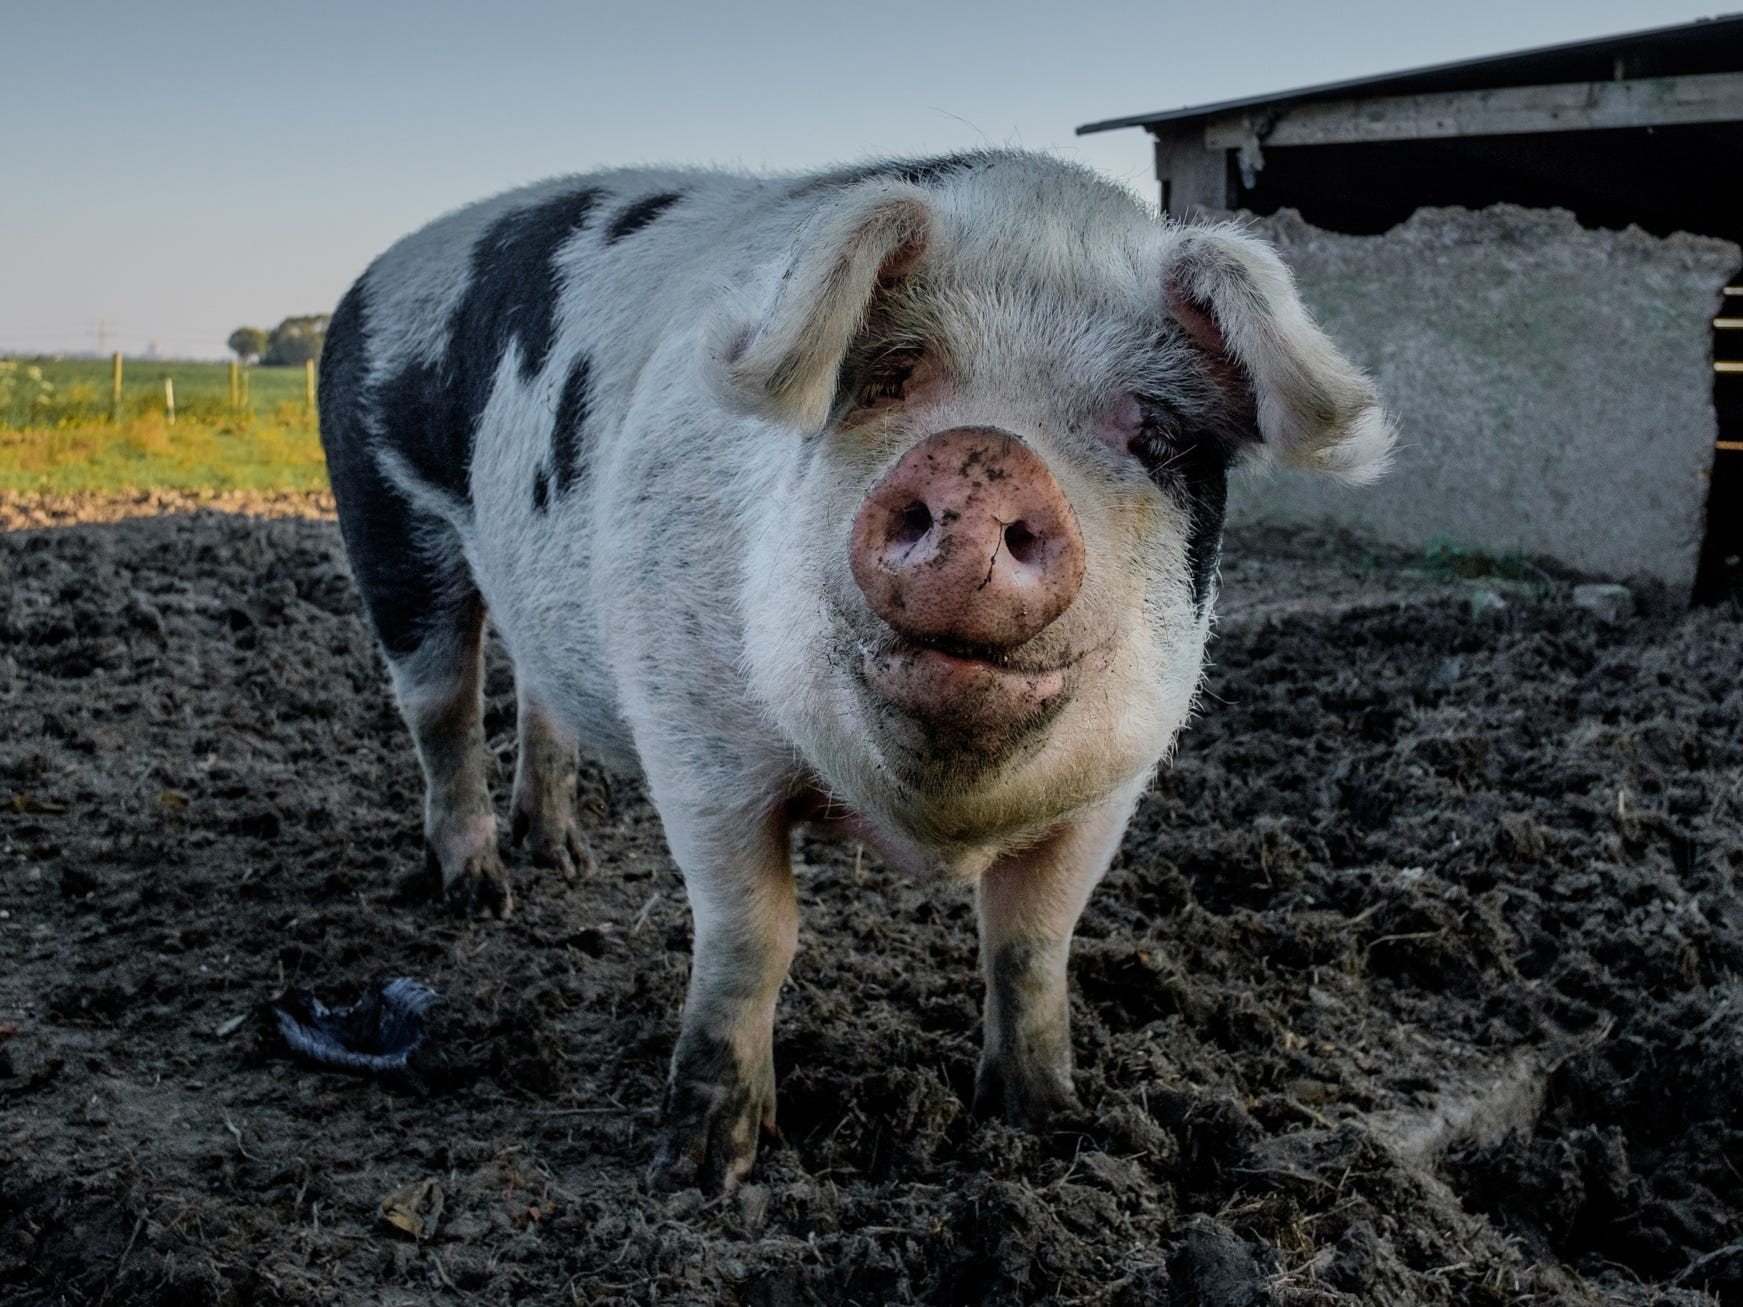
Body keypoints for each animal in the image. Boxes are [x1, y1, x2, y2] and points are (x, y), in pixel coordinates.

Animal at [320, 153, 1394, 1198]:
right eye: (890, 375)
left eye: (1157, 434)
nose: (986, 456)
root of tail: (373, 276)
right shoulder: (694, 733)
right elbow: (750, 934)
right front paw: (703, 1172)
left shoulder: (1112, 783)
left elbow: (1034, 938)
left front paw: (1044, 1122)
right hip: (386, 517)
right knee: (441, 706)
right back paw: (481, 894)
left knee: (539, 696)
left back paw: (561, 859)